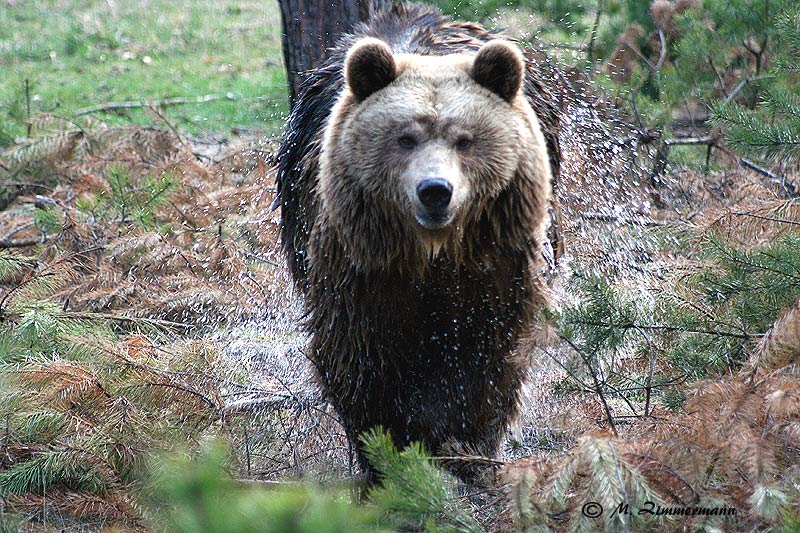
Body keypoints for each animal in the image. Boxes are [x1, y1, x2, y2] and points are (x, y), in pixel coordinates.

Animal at [276, 2, 564, 480]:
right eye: (405, 138)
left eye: (465, 140)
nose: (435, 190)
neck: (434, 254)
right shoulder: (361, 269)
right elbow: (360, 358)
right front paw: (389, 450)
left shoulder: (497, 266)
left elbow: (489, 354)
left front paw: (465, 446)